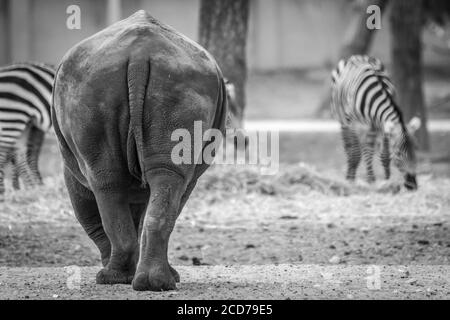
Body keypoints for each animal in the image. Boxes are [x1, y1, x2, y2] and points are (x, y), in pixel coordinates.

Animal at [330, 55, 422, 190]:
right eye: (399, 153)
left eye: (416, 150)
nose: (412, 185)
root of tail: (357, 56)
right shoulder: (353, 123)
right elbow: (356, 153)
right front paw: (353, 181)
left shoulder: (380, 124)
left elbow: (384, 155)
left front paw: (386, 181)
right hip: (343, 120)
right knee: (350, 148)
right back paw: (350, 176)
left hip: (370, 127)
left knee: (367, 148)